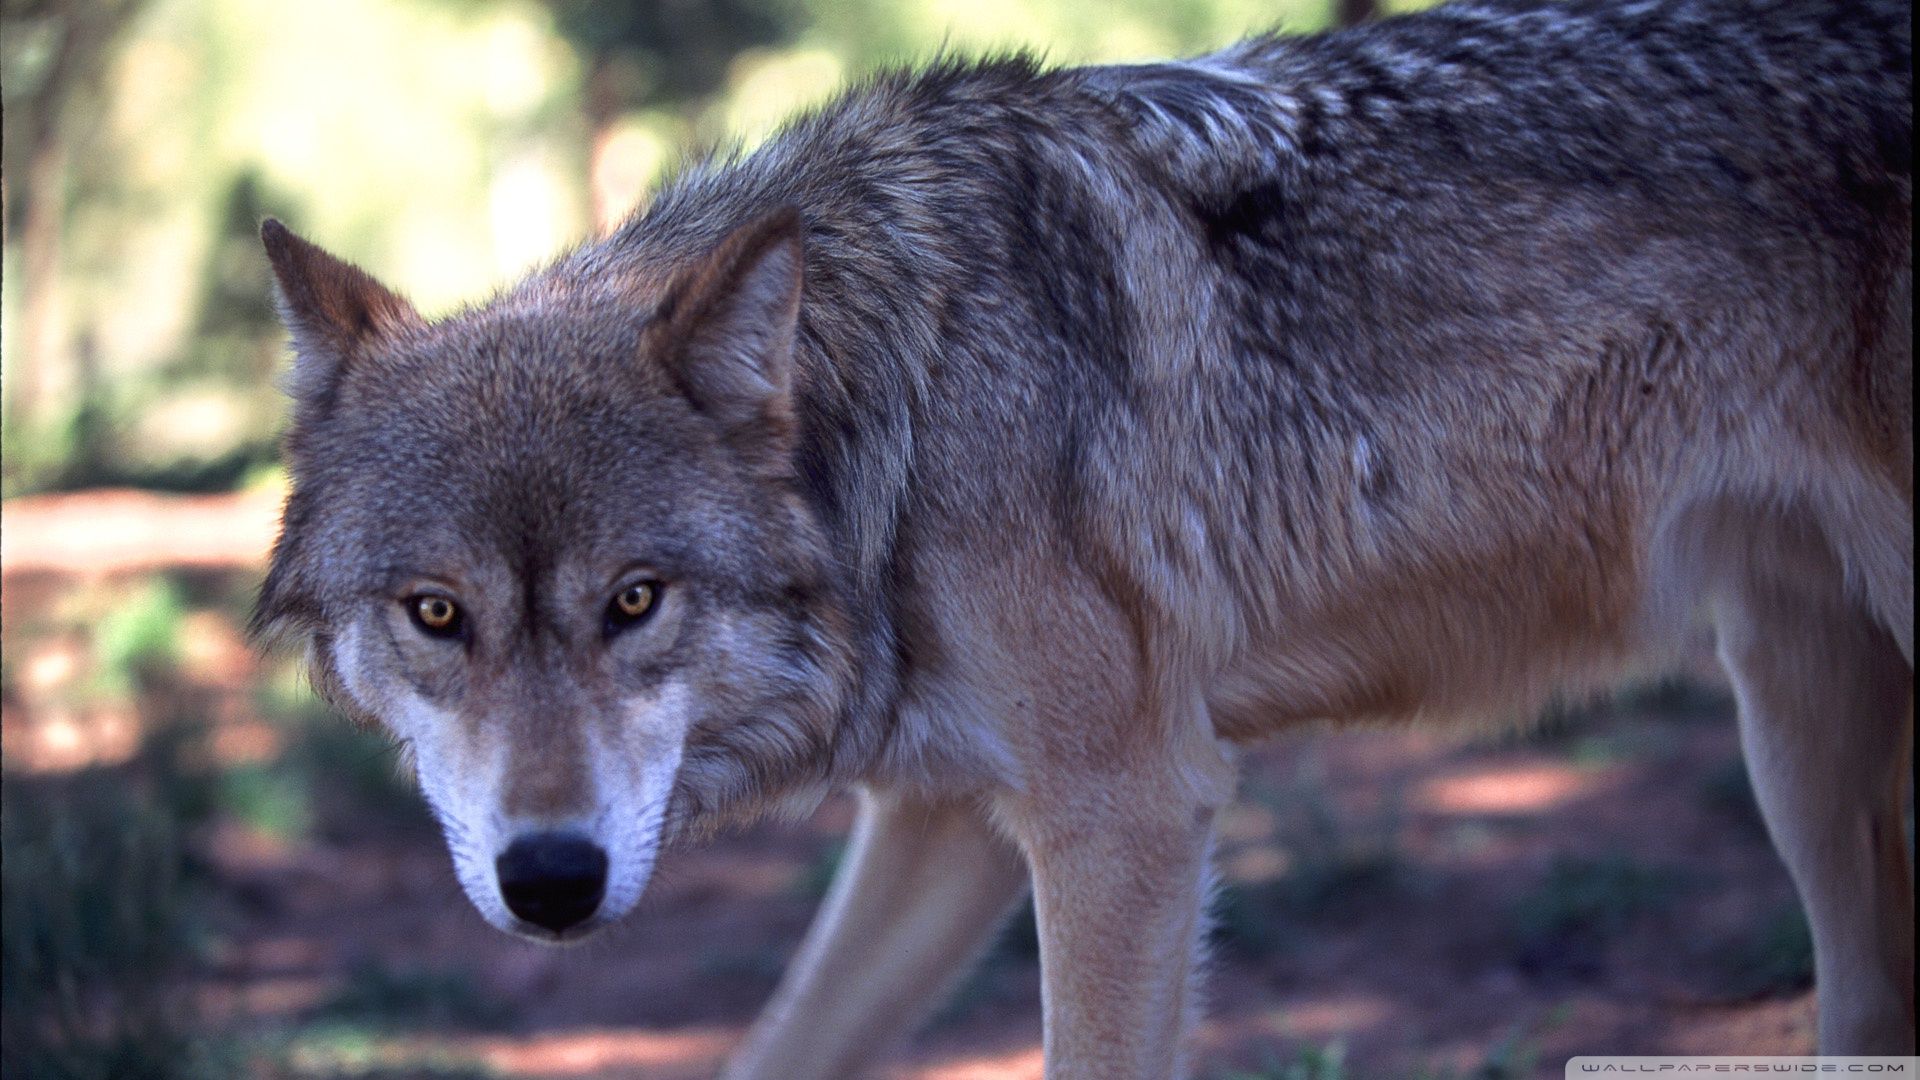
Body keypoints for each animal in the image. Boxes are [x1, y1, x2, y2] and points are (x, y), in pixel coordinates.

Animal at [252, 0, 1913, 1073]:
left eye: (636, 601)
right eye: (435, 613)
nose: (552, 881)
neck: (903, 414)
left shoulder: (1125, 815)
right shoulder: (941, 823)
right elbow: (779, 1043)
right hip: (1798, 725)